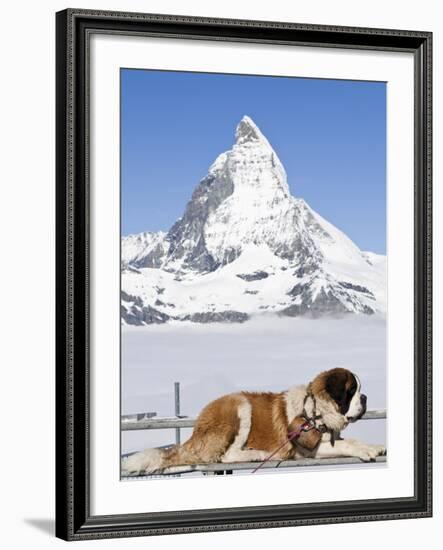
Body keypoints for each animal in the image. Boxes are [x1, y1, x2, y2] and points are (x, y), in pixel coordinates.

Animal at [123, 368, 386, 476]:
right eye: (352, 391)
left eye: (359, 390)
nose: (365, 397)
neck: (315, 409)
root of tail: (197, 429)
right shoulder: (306, 449)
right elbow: (348, 442)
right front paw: (367, 449)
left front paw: (374, 446)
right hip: (239, 405)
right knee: (225, 455)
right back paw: (256, 453)